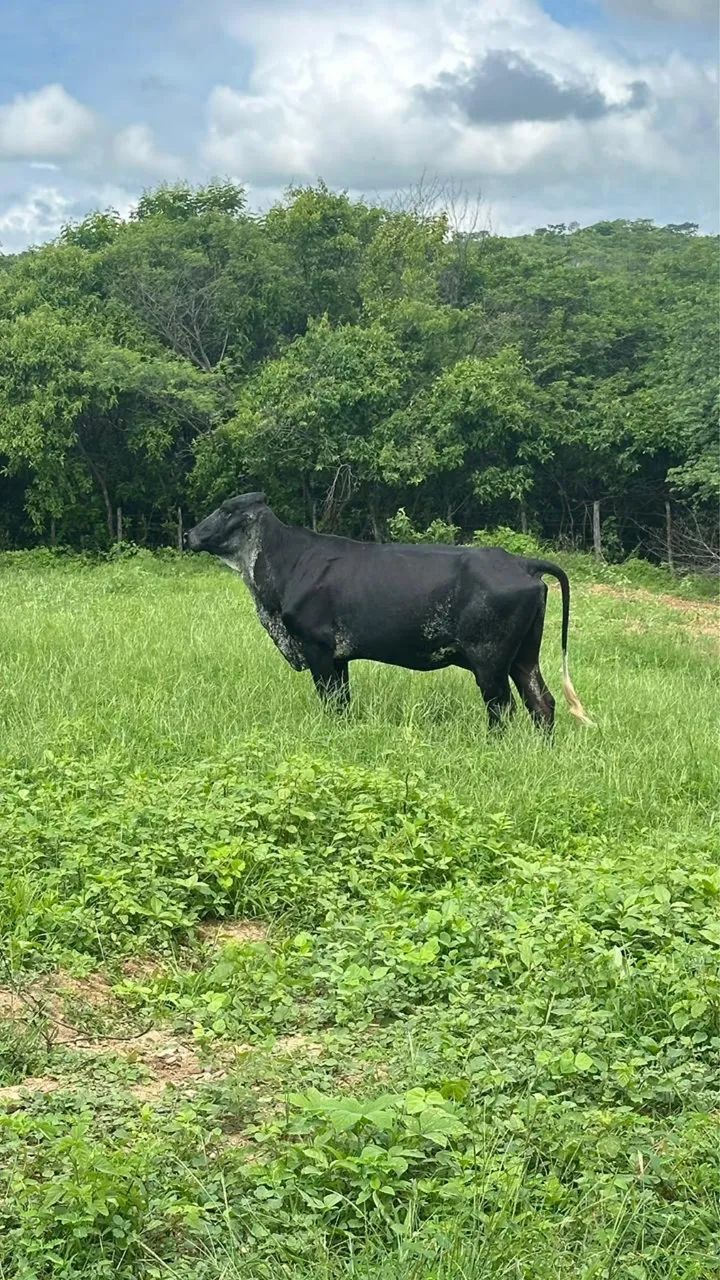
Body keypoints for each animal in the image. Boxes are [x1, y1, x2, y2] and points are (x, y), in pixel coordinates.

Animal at [186, 492, 592, 732]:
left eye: (225, 510)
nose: (189, 534)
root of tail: (521, 561)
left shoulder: (317, 648)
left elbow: (330, 700)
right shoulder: (338, 656)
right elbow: (343, 702)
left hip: (489, 659)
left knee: (502, 708)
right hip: (523, 656)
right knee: (541, 703)